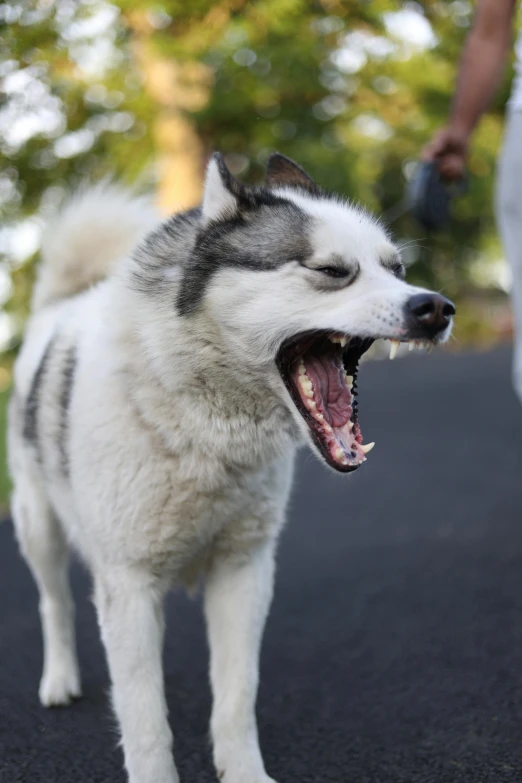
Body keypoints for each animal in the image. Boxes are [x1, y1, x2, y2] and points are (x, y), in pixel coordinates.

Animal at [9, 155, 456, 783]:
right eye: (331, 271)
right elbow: (145, 722)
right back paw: (59, 679)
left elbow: (236, 696)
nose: (435, 308)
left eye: (397, 269)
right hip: (38, 526)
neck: (202, 428)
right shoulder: (129, 584)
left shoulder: (244, 573)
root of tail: (63, 303)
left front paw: (244, 772)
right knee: (54, 603)